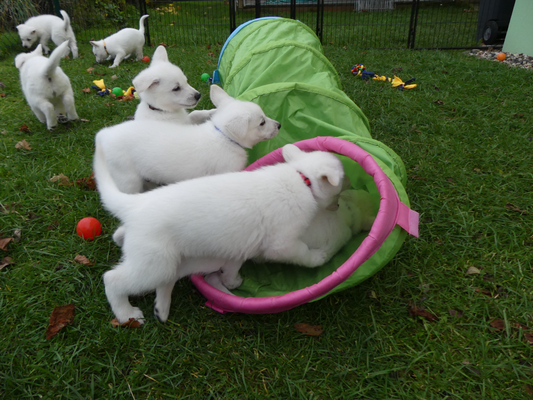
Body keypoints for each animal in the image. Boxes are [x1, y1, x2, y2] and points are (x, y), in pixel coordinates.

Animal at [94, 142, 348, 324]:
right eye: (339, 191)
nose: (338, 205)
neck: (302, 179)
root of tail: (135, 204)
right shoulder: (282, 244)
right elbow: (302, 252)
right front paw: (318, 257)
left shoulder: (240, 246)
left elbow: (232, 267)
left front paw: (232, 281)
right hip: (154, 263)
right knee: (112, 279)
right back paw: (126, 313)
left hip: (180, 259)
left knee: (154, 270)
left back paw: (161, 308)